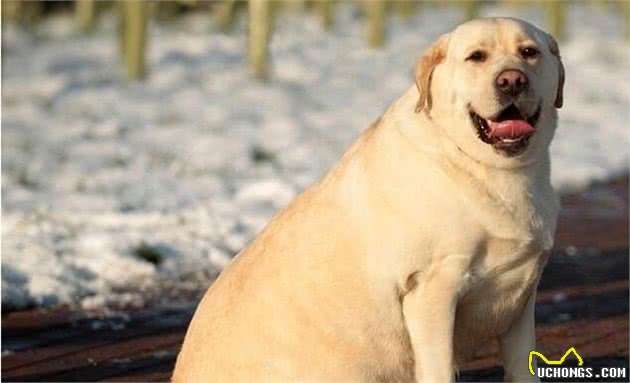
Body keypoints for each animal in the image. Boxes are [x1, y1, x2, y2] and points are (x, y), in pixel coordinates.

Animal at [174, 16, 568, 382]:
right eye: (476, 57)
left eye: (529, 52)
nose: (512, 80)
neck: (484, 167)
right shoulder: (431, 290)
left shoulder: (520, 298)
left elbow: (522, 368)